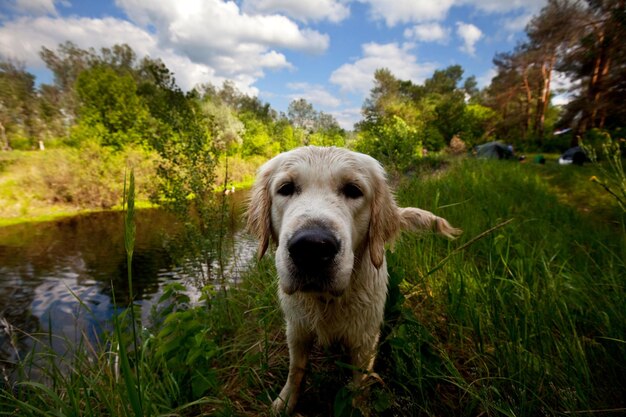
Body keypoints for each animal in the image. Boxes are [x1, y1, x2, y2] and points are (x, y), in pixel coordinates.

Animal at [245, 146, 458, 412]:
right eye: (286, 188)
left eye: (353, 190)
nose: (312, 247)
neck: (326, 301)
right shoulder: (297, 329)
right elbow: (296, 369)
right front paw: (285, 401)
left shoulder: (365, 340)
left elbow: (360, 383)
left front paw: (358, 407)